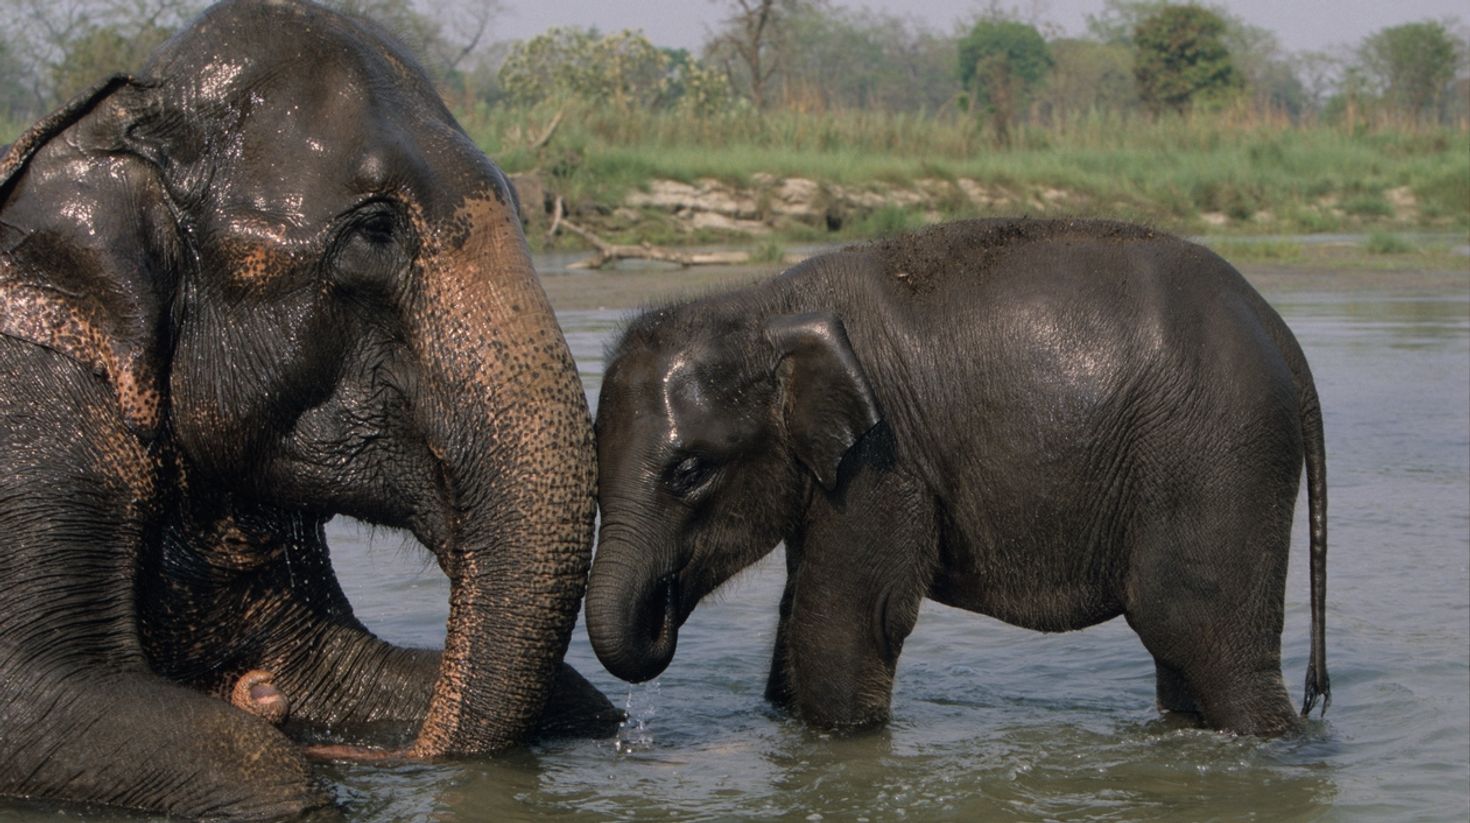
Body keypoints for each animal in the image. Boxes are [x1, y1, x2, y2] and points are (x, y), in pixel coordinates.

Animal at [585, 218, 1330, 738]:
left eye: (690, 471)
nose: (663, 611)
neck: (766, 305)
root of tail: (1278, 333)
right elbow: (800, 609)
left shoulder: (885, 459)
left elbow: (846, 620)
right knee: (1181, 662)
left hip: (1217, 455)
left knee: (1202, 639)